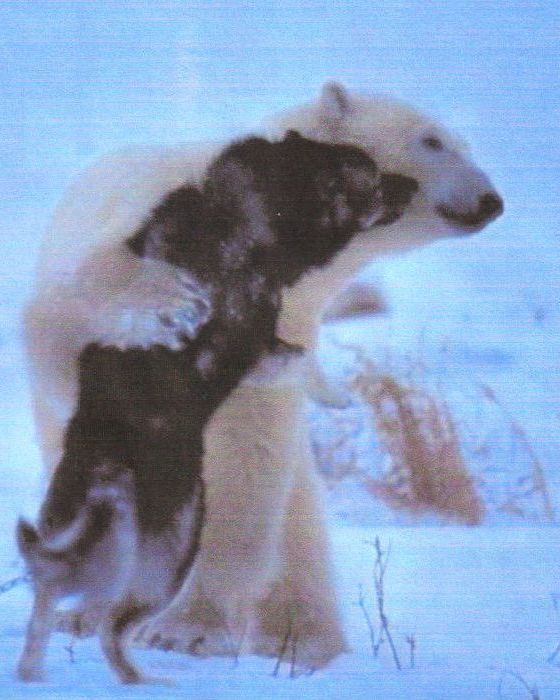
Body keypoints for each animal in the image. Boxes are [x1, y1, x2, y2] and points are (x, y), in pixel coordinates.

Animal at [24, 83, 504, 672]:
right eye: (433, 140)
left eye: (463, 143)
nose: (491, 200)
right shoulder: (142, 236)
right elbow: (78, 312)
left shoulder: (283, 327)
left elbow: (245, 465)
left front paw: (191, 632)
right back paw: (85, 611)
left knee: (297, 534)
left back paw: (301, 643)